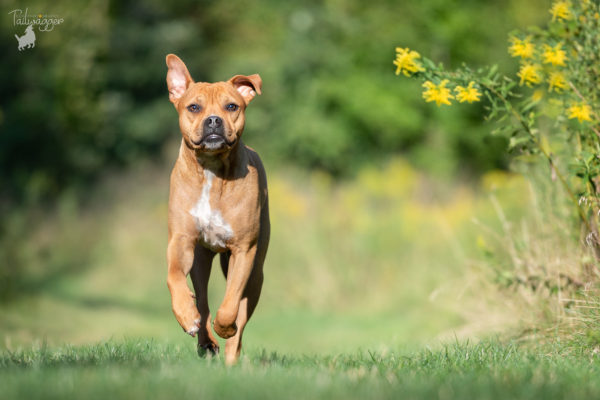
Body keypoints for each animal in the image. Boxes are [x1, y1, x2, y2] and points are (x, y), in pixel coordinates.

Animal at [163, 54, 268, 366]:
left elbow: (231, 301)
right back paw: (204, 340)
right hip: (200, 259)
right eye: (194, 107)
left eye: (231, 106)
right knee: (203, 298)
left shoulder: (243, 250)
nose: (213, 120)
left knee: (240, 316)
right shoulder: (180, 240)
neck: (210, 170)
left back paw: (228, 350)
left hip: (257, 274)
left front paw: (225, 327)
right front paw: (186, 316)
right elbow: (174, 277)